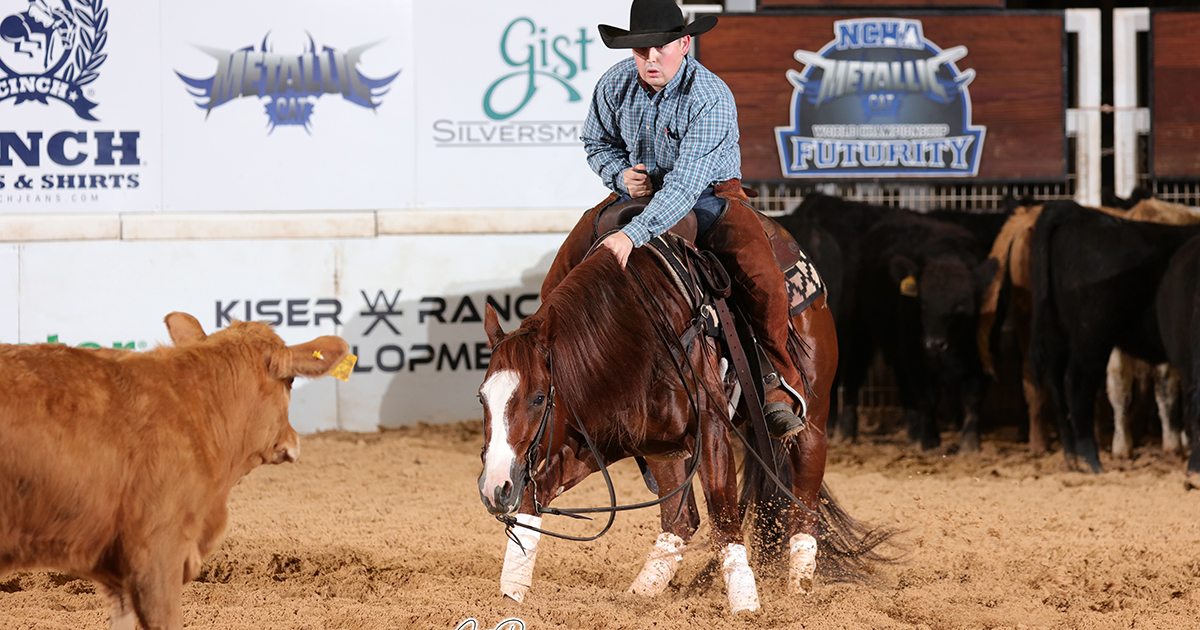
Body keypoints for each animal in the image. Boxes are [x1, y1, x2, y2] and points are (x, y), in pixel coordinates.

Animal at [475, 228, 883, 612]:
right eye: (482, 397)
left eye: (538, 398)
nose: (495, 488)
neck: (630, 332)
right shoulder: (604, 443)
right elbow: (535, 497)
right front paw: (511, 592)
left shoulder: (712, 430)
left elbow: (723, 517)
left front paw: (746, 606)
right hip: (662, 448)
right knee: (682, 520)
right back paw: (641, 592)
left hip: (812, 421)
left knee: (804, 506)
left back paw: (799, 587)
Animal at [1027, 201, 1200, 470]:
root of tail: (1078, 212)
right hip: (1092, 337)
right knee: (1077, 384)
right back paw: (1091, 461)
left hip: (1058, 333)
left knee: (1056, 383)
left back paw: (1073, 458)